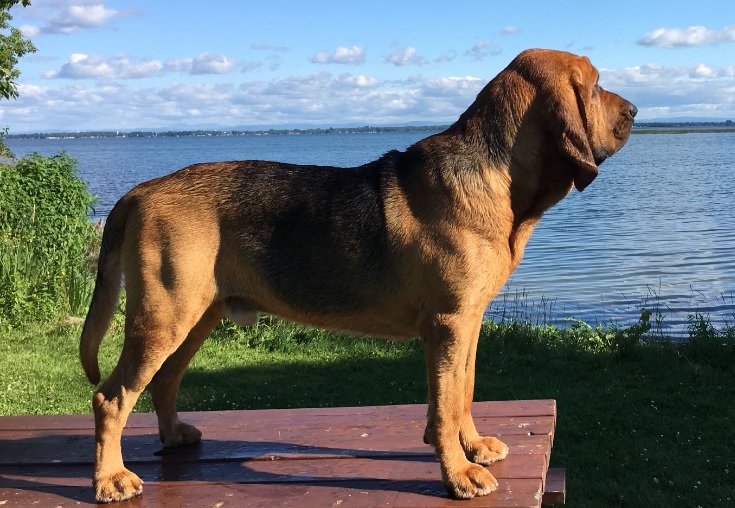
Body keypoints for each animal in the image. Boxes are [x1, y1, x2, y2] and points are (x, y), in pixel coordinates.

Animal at [79, 49, 632, 502]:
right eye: (595, 84)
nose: (635, 113)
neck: (498, 174)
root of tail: (139, 192)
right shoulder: (449, 325)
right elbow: (445, 404)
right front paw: (457, 475)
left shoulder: (468, 322)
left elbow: (464, 391)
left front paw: (472, 447)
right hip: (162, 319)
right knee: (111, 397)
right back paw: (110, 479)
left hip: (196, 318)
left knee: (164, 381)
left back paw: (173, 437)